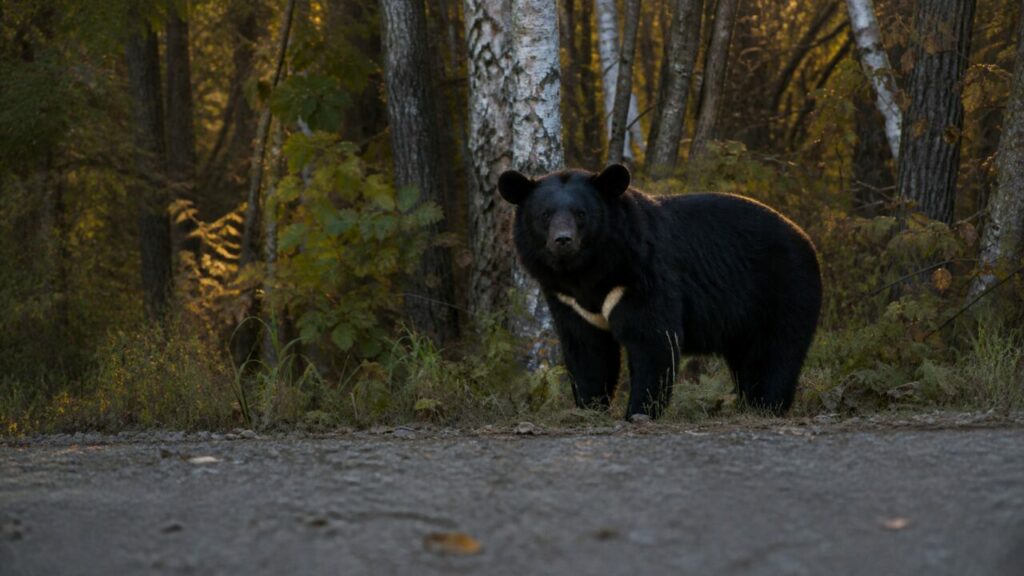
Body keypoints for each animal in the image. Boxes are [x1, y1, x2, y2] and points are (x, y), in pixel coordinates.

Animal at [498, 164, 822, 418]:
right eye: (545, 214)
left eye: (581, 213)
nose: (563, 240)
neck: (588, 271)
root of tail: (806, 238)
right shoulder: (568, 299)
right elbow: (587, 348)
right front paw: (589, 408)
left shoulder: (642, 274)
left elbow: (652, 338)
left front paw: (639, 411)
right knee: (749, 358)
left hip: (784, 289)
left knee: (777, 351)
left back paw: (767, 405)